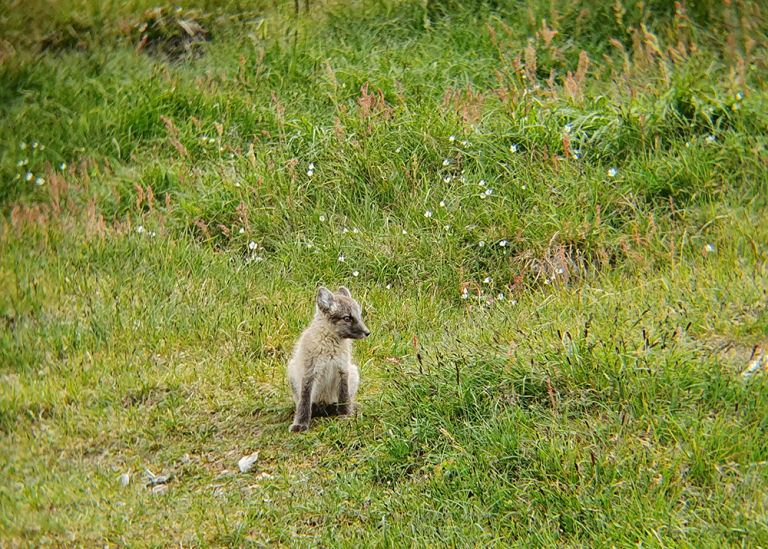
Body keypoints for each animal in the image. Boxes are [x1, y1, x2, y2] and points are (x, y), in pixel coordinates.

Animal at [287, 286, 370, 433]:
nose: (367, 332)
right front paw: (301, 424)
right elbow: (304, 402)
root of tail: (323, 406)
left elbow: (344, 396)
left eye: (359, 316)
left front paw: (346, 415)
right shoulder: (310, 373)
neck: (330, 349)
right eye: (347, 318)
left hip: (353, 371)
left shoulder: (342, 370)